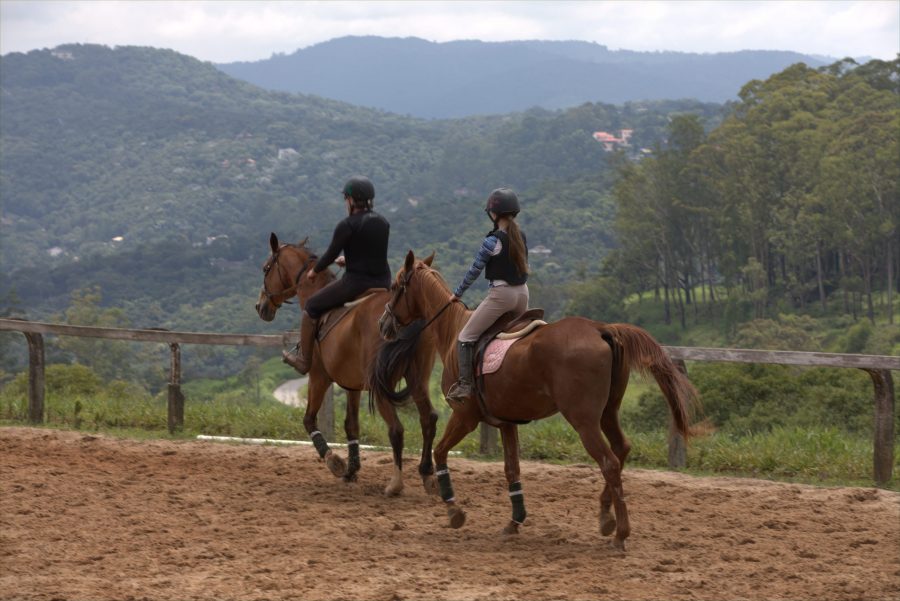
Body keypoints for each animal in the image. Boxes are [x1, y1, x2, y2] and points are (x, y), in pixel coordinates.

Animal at [253, 232, 440, 494]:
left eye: (266, 268)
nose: (260, 306)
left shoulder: (319, 377)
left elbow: (309, 419)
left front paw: (335, 462)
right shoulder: (352, 385)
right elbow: (351, 425)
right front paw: (352, 469)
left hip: (380, 385)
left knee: (396, 429)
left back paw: (396, 483)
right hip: (418, 379)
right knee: (428, 419)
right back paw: (427, 474)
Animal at [376, 251, 700, 552]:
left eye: (395, 286)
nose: (383, 324)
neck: (452, 330)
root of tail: (600, 328)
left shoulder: (464, 417)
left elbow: (440, 453)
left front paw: (455, 511)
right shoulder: (506, 423)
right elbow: (512, 469)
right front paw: (514, 521)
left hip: (583, 420)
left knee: (609, 462)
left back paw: (620, 534)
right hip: (608, 412)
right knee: (621, 450)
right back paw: (606, 518)